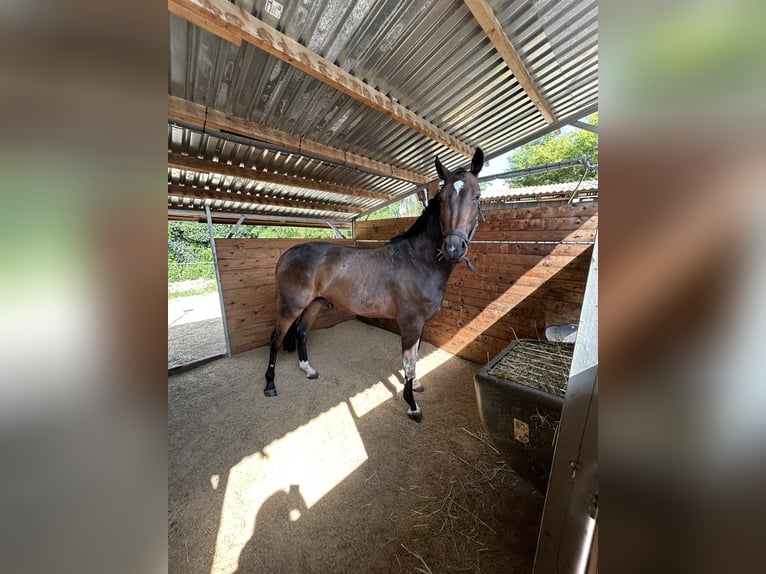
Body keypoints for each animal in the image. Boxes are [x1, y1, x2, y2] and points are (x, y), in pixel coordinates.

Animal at [264, 147, 484, 421]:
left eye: (477, 196)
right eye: (442, 198)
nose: (453, 249)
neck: (419, 261)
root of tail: (287, 254)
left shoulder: (420, 325)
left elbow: (415, 359)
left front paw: (416, 386)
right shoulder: (410, 324)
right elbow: (409, 364)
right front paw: (412, 406)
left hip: (313, 305)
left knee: (302, 333)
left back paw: (309, 370)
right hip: (290, 307)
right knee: (276, 339)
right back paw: (270, 385)